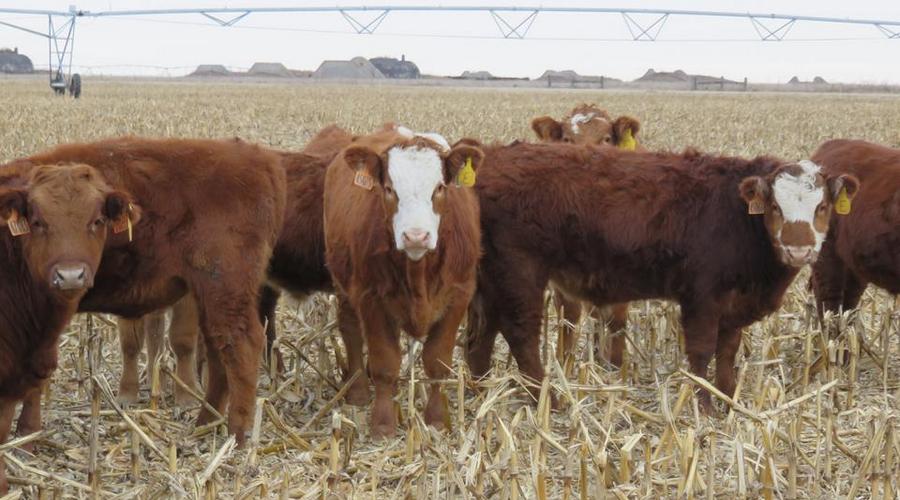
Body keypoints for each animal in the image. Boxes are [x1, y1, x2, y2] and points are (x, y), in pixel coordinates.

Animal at [1, 137, 286, 461]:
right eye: (37, 221)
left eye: (96, 221)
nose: (70, 275)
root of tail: (258, 158)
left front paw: (25, 439)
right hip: (209, 295)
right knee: (218, 351)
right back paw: (206, 423)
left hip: (225, 288)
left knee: (242, 345)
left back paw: (237, 436)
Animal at [324, 127, 482, 437]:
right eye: (389, 189)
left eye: (439, 188)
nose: (416, 236)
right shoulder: (370, 298)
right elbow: (386, 363)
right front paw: (383, 423)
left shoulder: (459, 296)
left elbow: (437, 362)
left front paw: (436, 419)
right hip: (343, 285)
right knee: (351, 330)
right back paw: (358, 390)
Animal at [464, 142, 859, 409]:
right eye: (776, 207)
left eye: (822, 206)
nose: (798, 250)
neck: (735, 215)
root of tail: (490, 160)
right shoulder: (702, 297)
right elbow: (701, 352)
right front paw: (704, 404)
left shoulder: (733, 304)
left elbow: (727, 351)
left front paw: (728, 399)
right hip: (520, 274)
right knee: (520, 335)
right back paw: (547, 400)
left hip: (492, 282)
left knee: (480, 337)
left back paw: (478, 393)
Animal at [531, 104, 644, 367]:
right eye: (566, 139)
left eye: (606, 139)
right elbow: (569, 318)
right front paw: (565, 363)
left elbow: (617, 320)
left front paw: (615, 366)